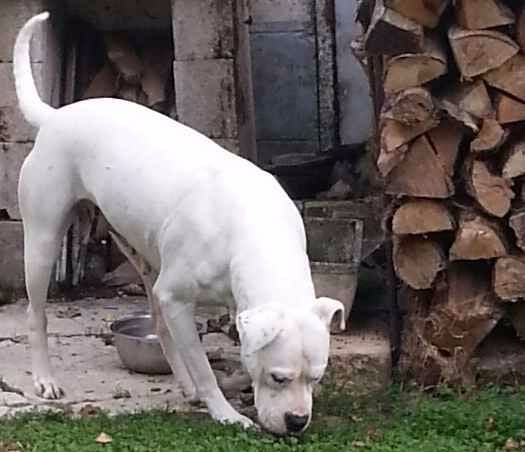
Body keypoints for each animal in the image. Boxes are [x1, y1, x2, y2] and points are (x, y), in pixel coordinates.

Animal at [13, 12, 344, 432]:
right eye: (278, 377)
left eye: (317, 377)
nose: (297, 421)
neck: (254, 235)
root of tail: (57, 115)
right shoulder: (178, 298)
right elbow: (203, 366)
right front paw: (226, 413)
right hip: (43, 240)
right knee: (36, 314)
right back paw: (46, 378)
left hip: (141, 256)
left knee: (157, 321)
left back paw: (183, 385)